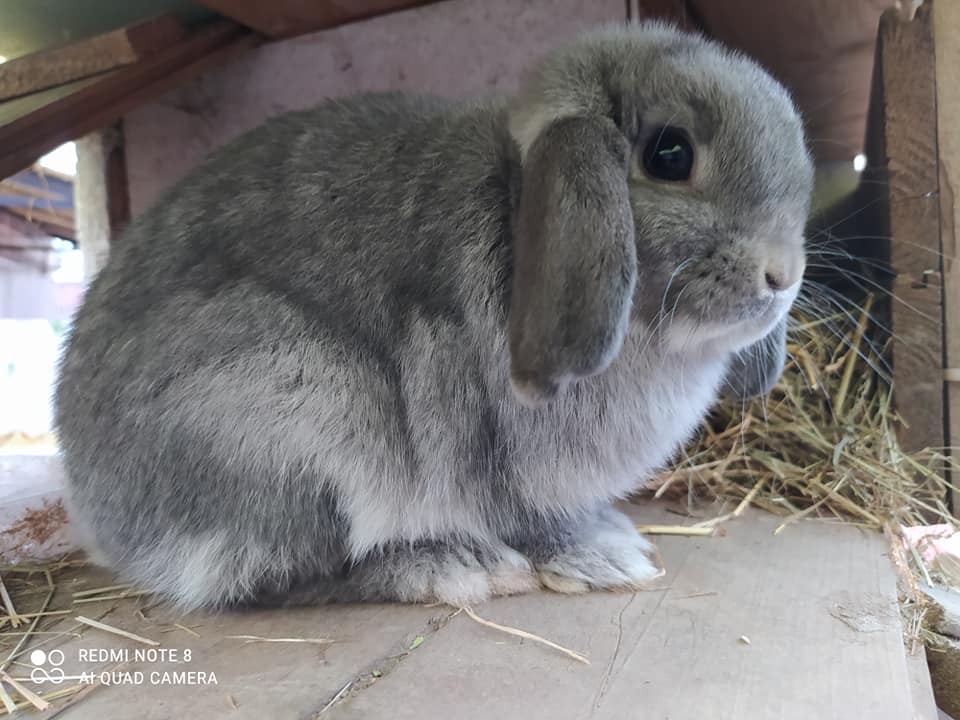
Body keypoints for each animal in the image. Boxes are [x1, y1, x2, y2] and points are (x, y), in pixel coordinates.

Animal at [56, 21, 812, 608]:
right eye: (670, 153)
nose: (783, 276)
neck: (515, 204)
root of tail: (102, 515)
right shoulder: (504, 465)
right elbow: (532, 520)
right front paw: (603, 558)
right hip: (293, 413)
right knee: (270, 577)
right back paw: (450, 566)